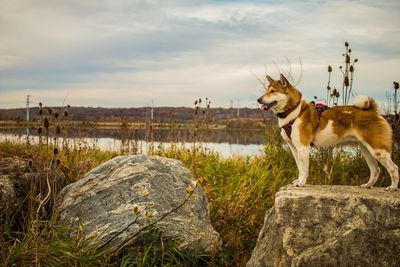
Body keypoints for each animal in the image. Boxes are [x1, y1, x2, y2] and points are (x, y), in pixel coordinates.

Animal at [258, 73, 398, 192]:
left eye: (272, 91)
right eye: (266, 90)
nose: (259, 100)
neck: (294, 111)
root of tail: (372, 111)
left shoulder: (303, 148)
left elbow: (304, 169)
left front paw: (301, 183)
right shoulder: (294, 148)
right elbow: (300, 167)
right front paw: (298, 180)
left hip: (377, 150)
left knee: (394, 168)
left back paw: (392, 187)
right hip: (366, 150)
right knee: (375, 170)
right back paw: (368, 185)